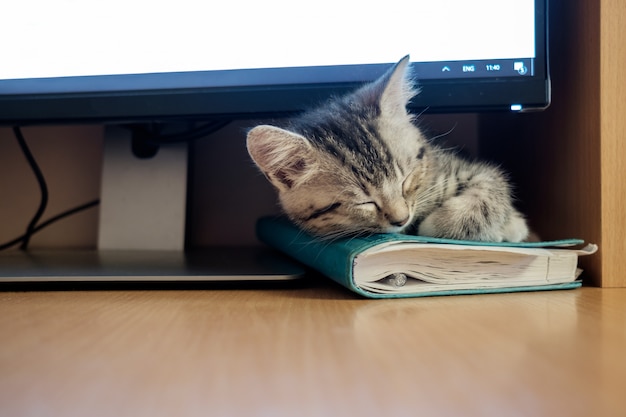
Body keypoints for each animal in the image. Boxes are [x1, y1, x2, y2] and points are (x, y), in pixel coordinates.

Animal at [244, 57, 528, 242]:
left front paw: (442, 224)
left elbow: (491, 189)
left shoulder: (464, 168)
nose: (402, 219)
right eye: (364, 202)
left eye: (406, 179)